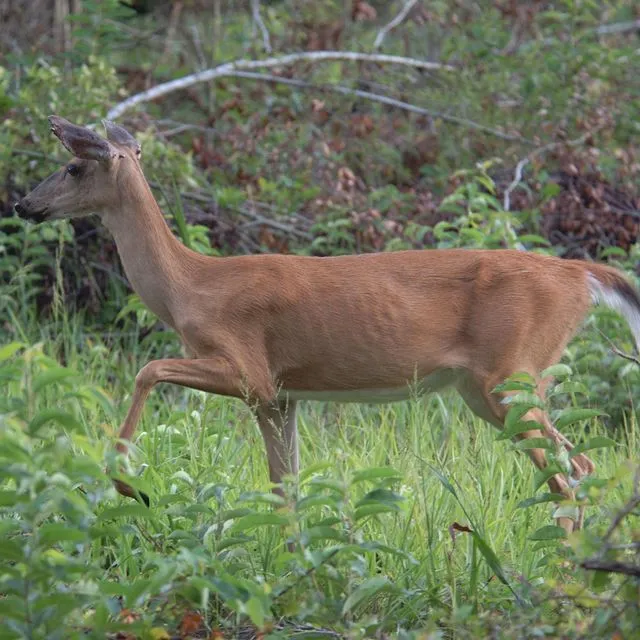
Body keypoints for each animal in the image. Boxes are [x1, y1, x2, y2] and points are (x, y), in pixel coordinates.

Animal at [14, 116, 640, 535]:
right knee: (577, 464)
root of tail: (581, 274)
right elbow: (283, 488)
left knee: (573, 467)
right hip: (486, 387)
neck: (191, 286)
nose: (22, 204)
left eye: (72, 166)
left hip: (511, 372)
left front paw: (127, 483)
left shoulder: (247, 368)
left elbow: (148, 368)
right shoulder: (280, 396)